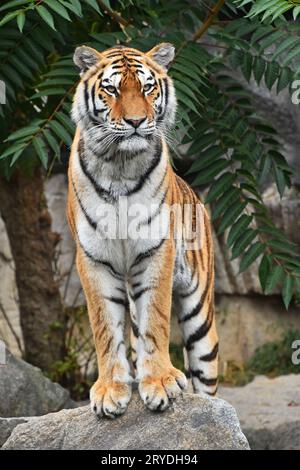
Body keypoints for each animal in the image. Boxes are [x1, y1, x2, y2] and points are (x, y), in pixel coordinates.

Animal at [68, 42, 218, 418]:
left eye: (148, 87)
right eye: (112, 89)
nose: (136, 122)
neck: (119, 164)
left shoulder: (155, 251)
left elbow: (156, 319)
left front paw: (161, 382)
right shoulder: (93, 258)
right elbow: (105, 327)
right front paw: (110, 390)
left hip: (201, 316)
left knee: (208, 380)